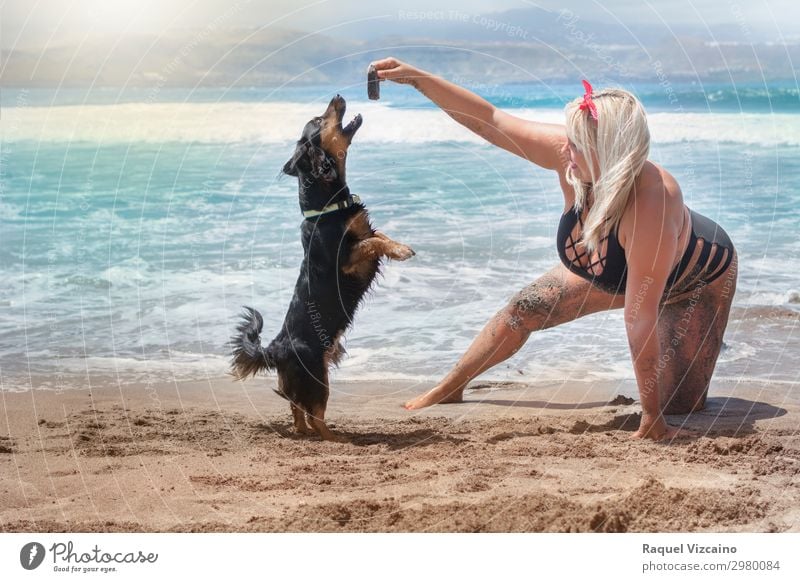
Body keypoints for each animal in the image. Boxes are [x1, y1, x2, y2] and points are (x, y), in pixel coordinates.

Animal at [227, 94, 410, 442]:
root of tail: (274, 348)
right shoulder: (348, 260)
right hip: (317, 377)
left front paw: (399, 244)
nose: (337, 96)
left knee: (298, 412)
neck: (327, 206)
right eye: (317, 119)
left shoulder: (363, 234)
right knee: (314, 417)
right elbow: (371, 243)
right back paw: (338, 438)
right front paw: (403, 250)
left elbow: (378, 235)